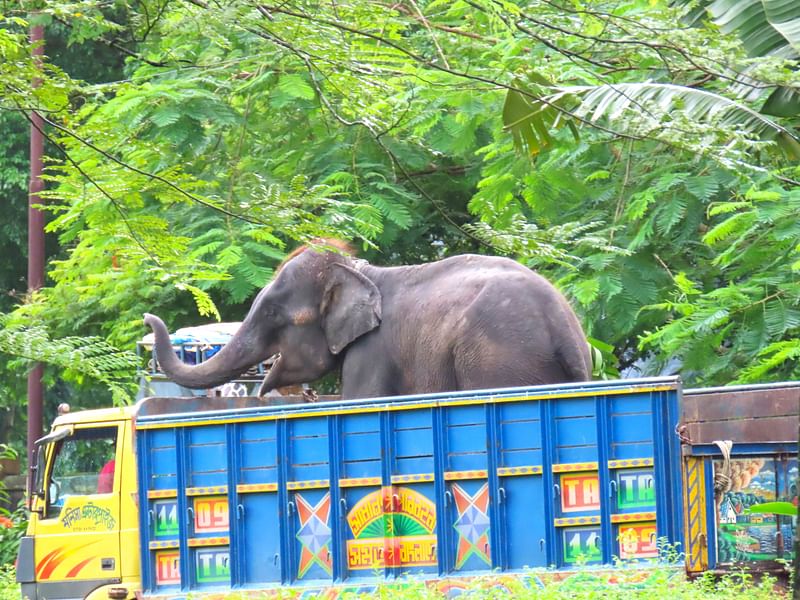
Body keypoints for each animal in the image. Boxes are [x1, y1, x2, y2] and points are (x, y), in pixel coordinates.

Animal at [145, 238, 592, 398]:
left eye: (273, 312)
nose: (149, 317)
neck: (363, 271)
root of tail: (564, 333)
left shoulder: (374, 353)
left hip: (500, 363)